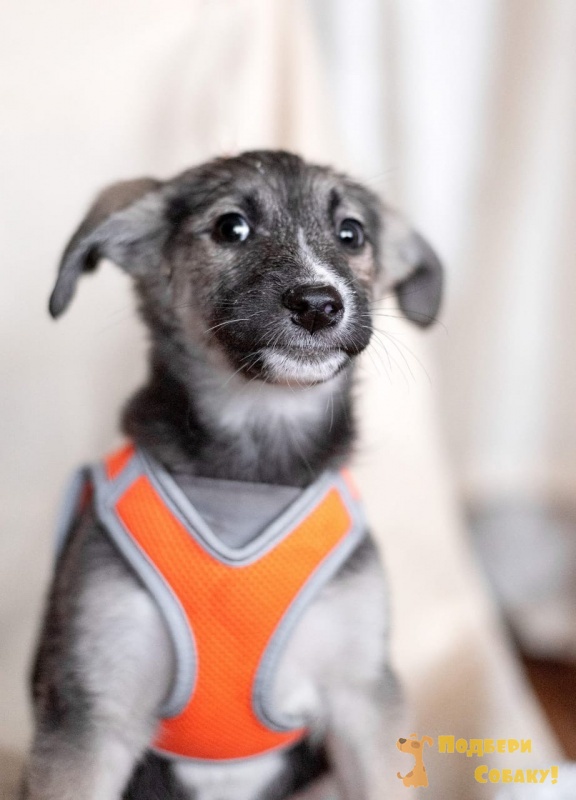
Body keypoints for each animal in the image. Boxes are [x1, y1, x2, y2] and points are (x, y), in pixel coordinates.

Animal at [23, 150, 442, 800]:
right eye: (231, 228)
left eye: (352, 233)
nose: (319, 304)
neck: (252, 473)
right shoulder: (89, 716)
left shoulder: (364, 696)